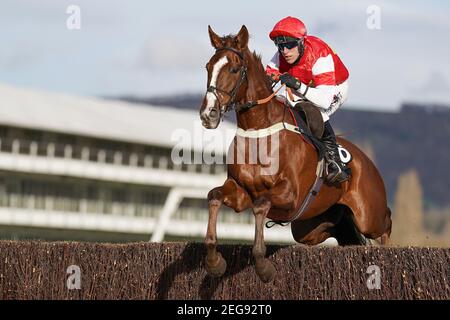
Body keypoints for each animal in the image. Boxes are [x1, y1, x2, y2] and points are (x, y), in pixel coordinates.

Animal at [199, 26, 392, 284]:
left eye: (233, 69)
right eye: (208, 67)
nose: (208, 114)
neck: (258, 131)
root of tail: (368, 162)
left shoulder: (289, 194)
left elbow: (261, 204)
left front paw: (264, 267)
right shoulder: (240, 192)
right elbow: (214, 196)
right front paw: (214, 262)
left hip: (368, 215)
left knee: (386, 222)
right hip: (313, 227)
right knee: (346, 236)